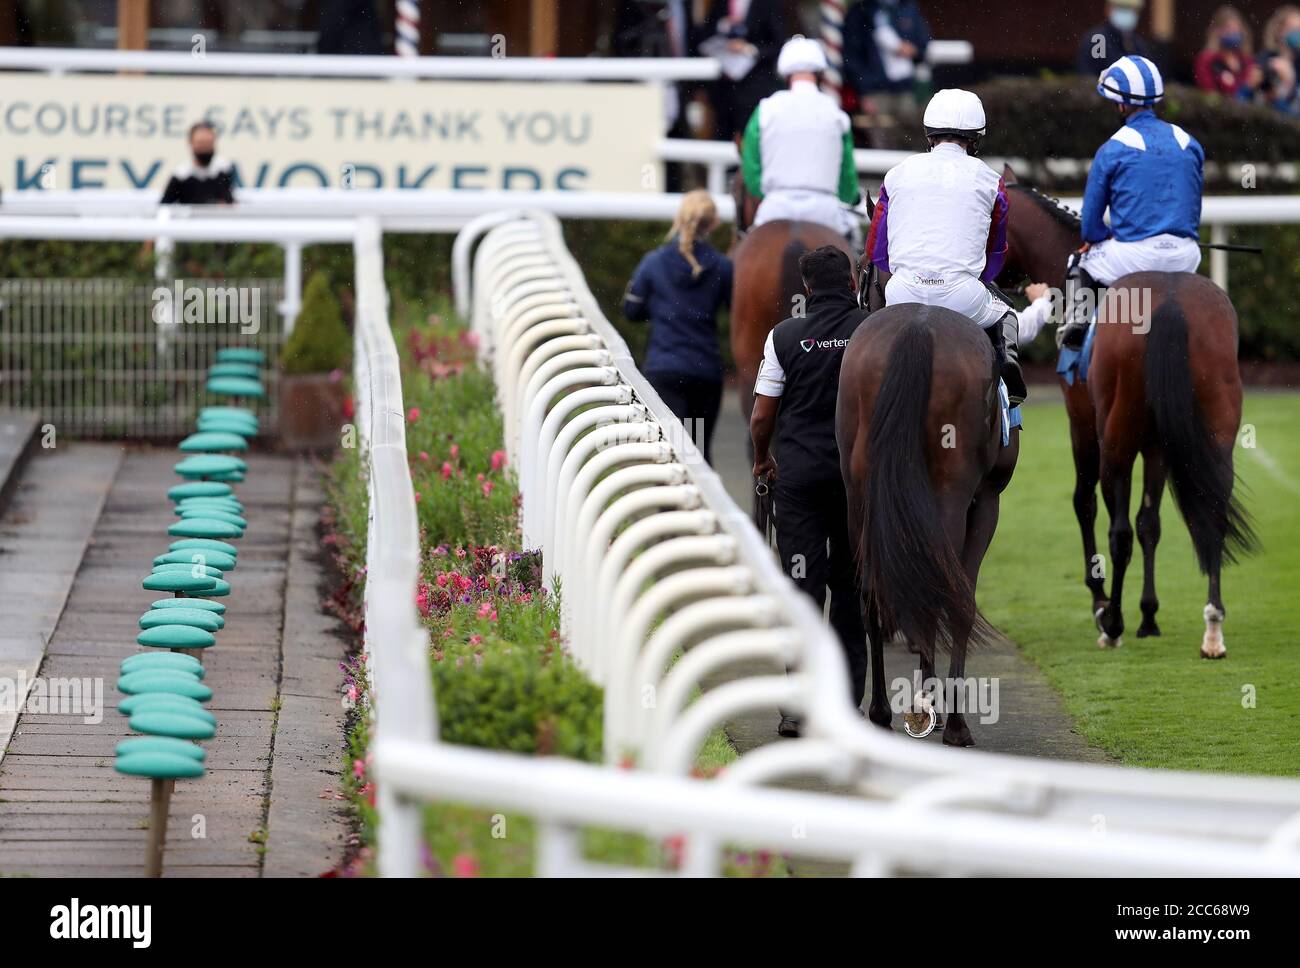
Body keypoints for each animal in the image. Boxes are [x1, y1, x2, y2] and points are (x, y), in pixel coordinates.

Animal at [837, 305, 1019, 743]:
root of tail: (918, 327)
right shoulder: (988, 499)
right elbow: (960, 596)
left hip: (859, 495)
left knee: (871, 591)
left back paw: (881, 711)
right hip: (952, 493)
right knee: (945, 591)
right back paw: (947, 720)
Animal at [998, 170, 1253, 660]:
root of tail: (1169, 301)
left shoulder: (1082, 423)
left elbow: (1086, 503)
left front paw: (1104, 606)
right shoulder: (1156, 443)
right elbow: (1150, 523)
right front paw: (1149, 615)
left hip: (1116, 435)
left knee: (1117, 532)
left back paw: (1112, 623)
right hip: (1217, 427)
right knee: (1212, 509)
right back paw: (1212, 628)